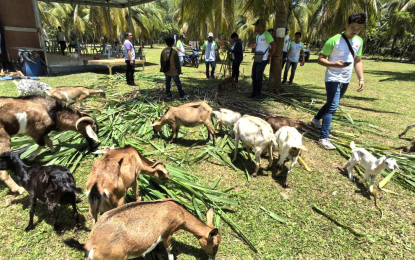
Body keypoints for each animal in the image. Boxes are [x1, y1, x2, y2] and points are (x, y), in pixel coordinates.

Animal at [65, 199, 221, 260]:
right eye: (215, 244)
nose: (212, 256)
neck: (178, 212)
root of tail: (89, 244)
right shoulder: (167, 233)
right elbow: (170, 249)